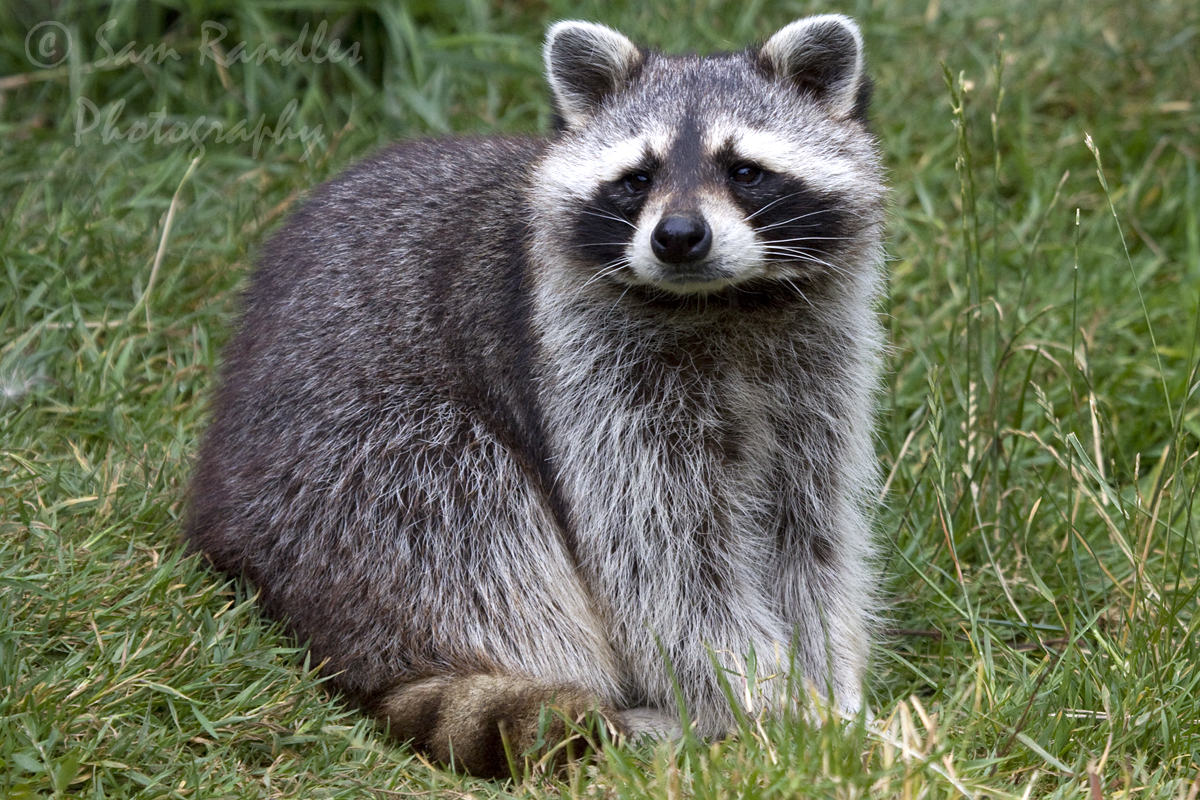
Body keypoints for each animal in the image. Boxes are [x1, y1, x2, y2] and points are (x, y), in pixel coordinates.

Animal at [186, 15, 886, 778]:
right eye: (637, 178)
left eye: (745, 170)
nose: (677, 237)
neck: (723, 303)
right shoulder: (591, 374)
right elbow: (664, 558)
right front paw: (762, 705)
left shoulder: (814, 374)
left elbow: (806, 535)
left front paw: (828, 690)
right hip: (341, 466)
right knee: (469, 504)